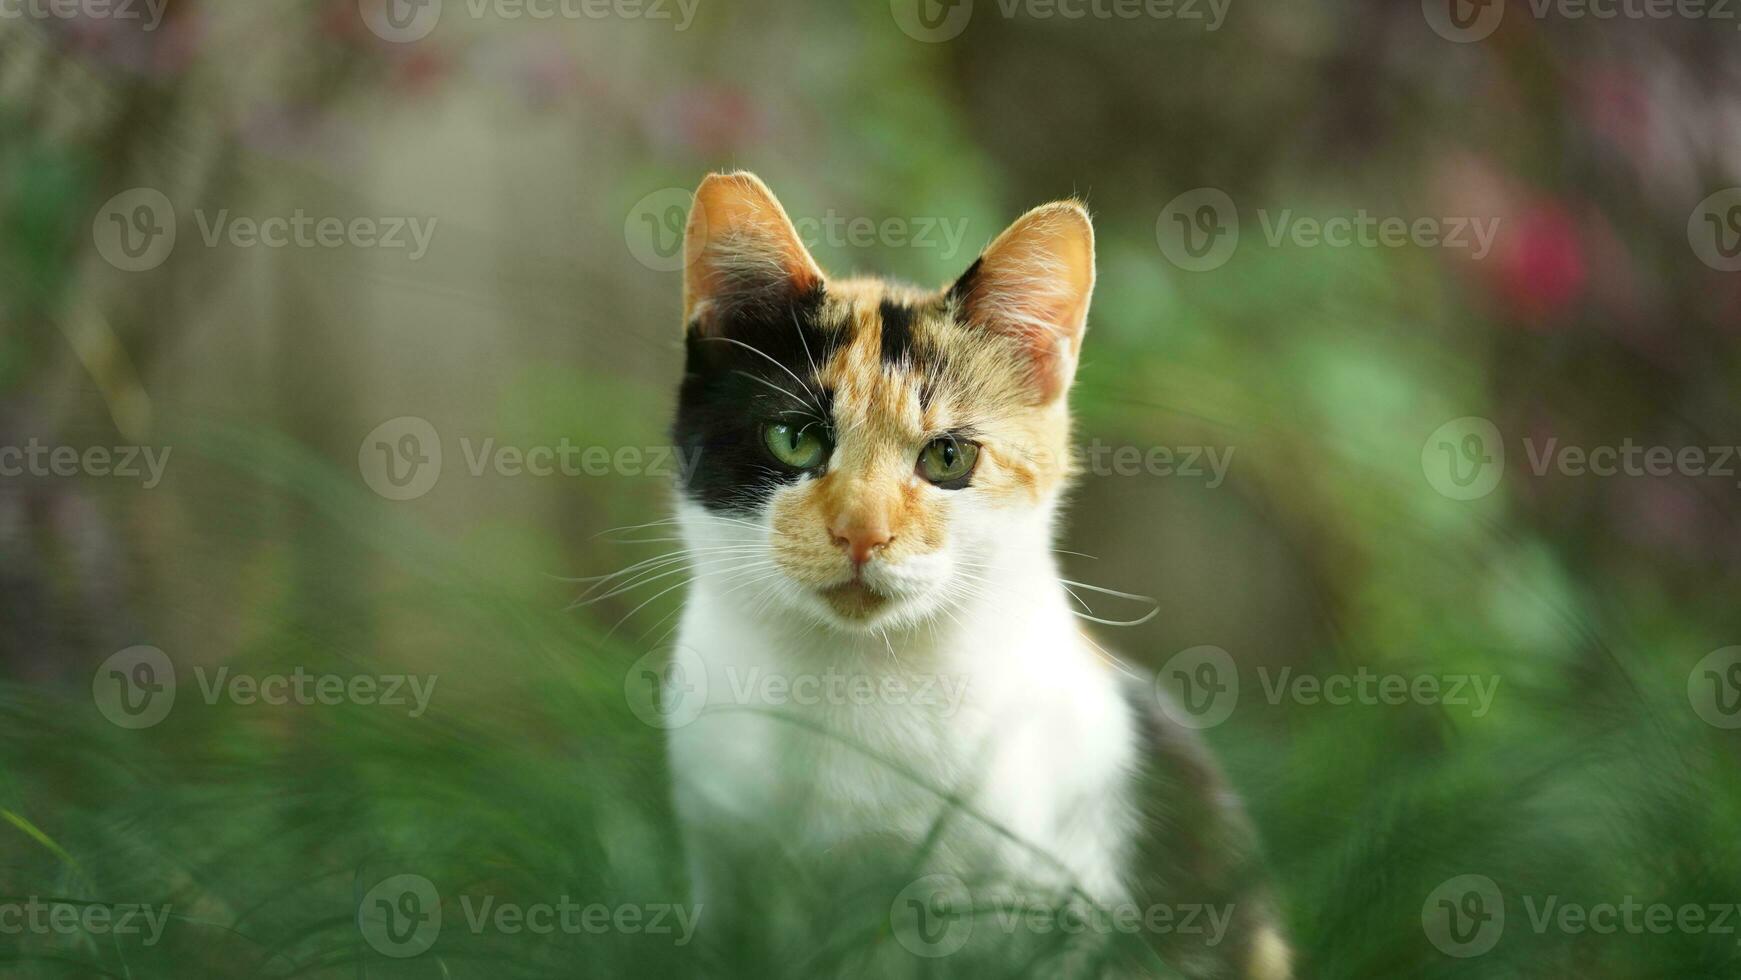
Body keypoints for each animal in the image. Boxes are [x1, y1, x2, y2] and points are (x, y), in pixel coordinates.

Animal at [658, 172, 1288, 974]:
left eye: (948, 457)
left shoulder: (1049, 908)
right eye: (794, 439)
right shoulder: (724, 865)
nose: (861, 531)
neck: (851, 681)